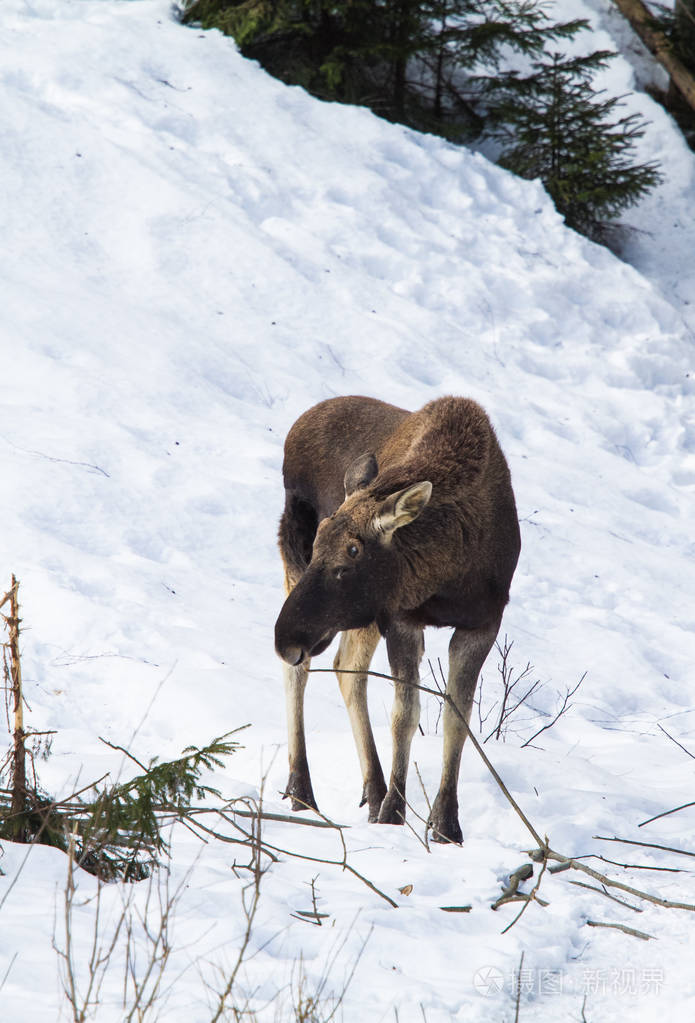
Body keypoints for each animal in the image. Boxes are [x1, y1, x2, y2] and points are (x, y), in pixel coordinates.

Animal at [274, 394, 519, 842]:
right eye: (319, 547)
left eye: (351, 557)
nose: (285, 639)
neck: (447, 575)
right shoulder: (403, 617)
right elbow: (406, 715)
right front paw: (394, 812)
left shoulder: (482, 623)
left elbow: (457, 719)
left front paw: (446, 825)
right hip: (298, 564)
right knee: (304, 672)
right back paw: (303, 790)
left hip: (361, 616)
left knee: (346, 668)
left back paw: (372, 789)